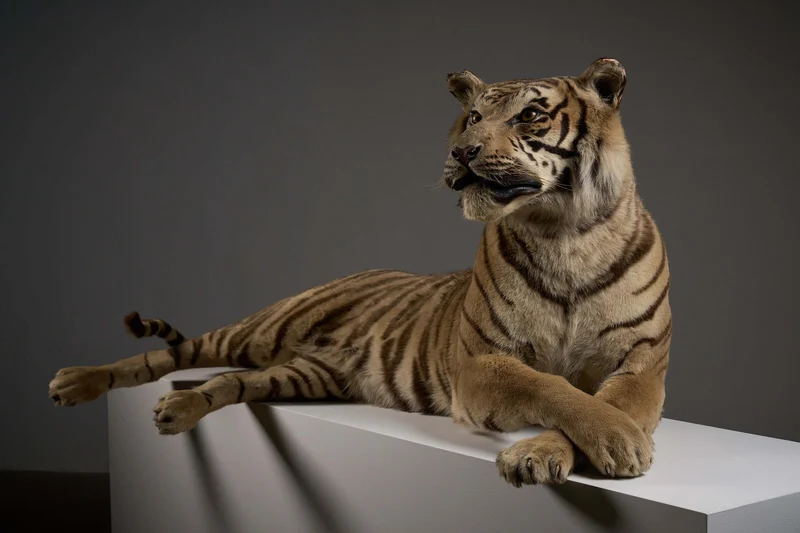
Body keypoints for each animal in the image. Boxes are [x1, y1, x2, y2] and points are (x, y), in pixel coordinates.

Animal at [49, 57, 671, 487]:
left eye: (531, 115)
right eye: (473, 116)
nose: (462, 152)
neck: (564, 233)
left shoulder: (641, 365)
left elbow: (599, 402)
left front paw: (549, 451)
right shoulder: (482, 362)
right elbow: (551, 388)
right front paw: (612, 441)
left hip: (301, 375)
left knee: (228, 381)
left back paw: (177, 409)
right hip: (257, 331)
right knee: (171, 355)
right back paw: (75, 381)